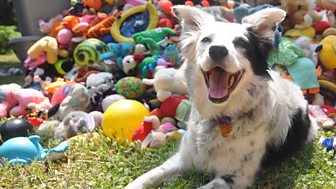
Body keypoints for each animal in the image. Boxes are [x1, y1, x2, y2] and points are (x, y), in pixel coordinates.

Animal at [125, 5, 318, 189]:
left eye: (240, 42)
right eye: (206, 40)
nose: (217, 50)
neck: (221, 118)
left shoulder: (237, 178)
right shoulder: (183, 158)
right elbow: (151, 174)